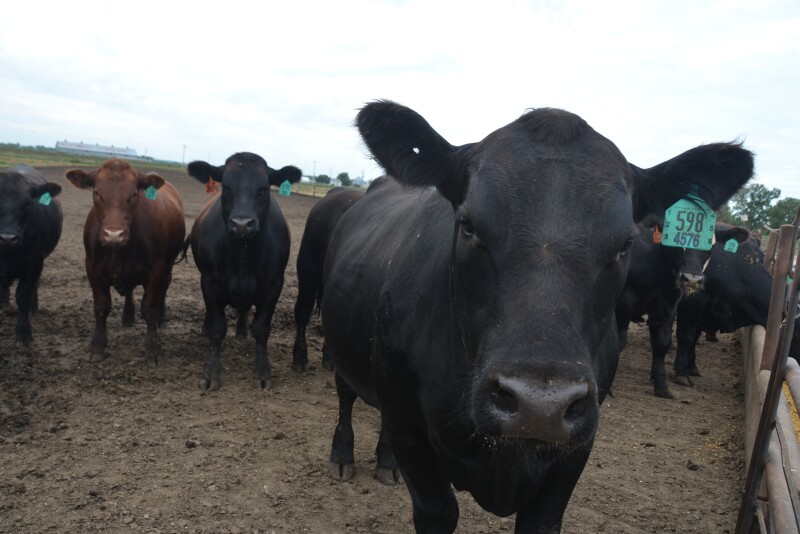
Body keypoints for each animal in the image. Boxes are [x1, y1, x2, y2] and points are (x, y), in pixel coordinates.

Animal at [65, 159, 185, 363]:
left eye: (133, 194)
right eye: (97, 193)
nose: (114, 234)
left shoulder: (157, 269)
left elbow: (149, 307)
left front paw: (153, 348)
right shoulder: (92, 267)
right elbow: (101, 306)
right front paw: (97, 346)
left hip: (169, 265)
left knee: (164, 287)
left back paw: (161, 318)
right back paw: (128, 316)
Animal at [186, 152, 301, 391]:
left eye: (263, 188)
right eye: (226, 186)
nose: (241, 224)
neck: (242, 256)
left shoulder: (274, 284)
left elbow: (262, 328)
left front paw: (262, 372)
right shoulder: (209, 281)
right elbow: (217, 328)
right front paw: (211, 372)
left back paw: (241, 331)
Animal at [615, 223, 750, 398]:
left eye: (710, 247)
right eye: (677, 242)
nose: (692, 280)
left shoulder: (667, 306)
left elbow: (661, 343)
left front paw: (661, 386)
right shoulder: (624, 301)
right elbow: (619, 341)